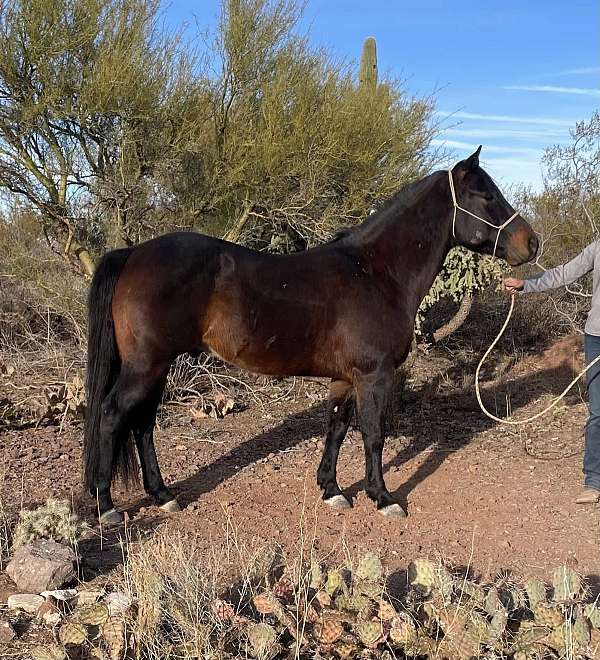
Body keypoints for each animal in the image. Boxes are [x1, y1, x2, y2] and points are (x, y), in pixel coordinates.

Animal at [84, 147, 540, 524]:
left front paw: (332, 490)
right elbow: (373, 436)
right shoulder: (374, 375)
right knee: (112, 414)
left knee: (143, 424)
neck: (376, 272)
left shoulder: (345, 378)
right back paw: (107, 506)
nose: (532, 242)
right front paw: (383, 498)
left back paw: (162, 495)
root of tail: (134, 253)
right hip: (146, 366)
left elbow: (336, 429)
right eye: (485, 195)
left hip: (156, 367)